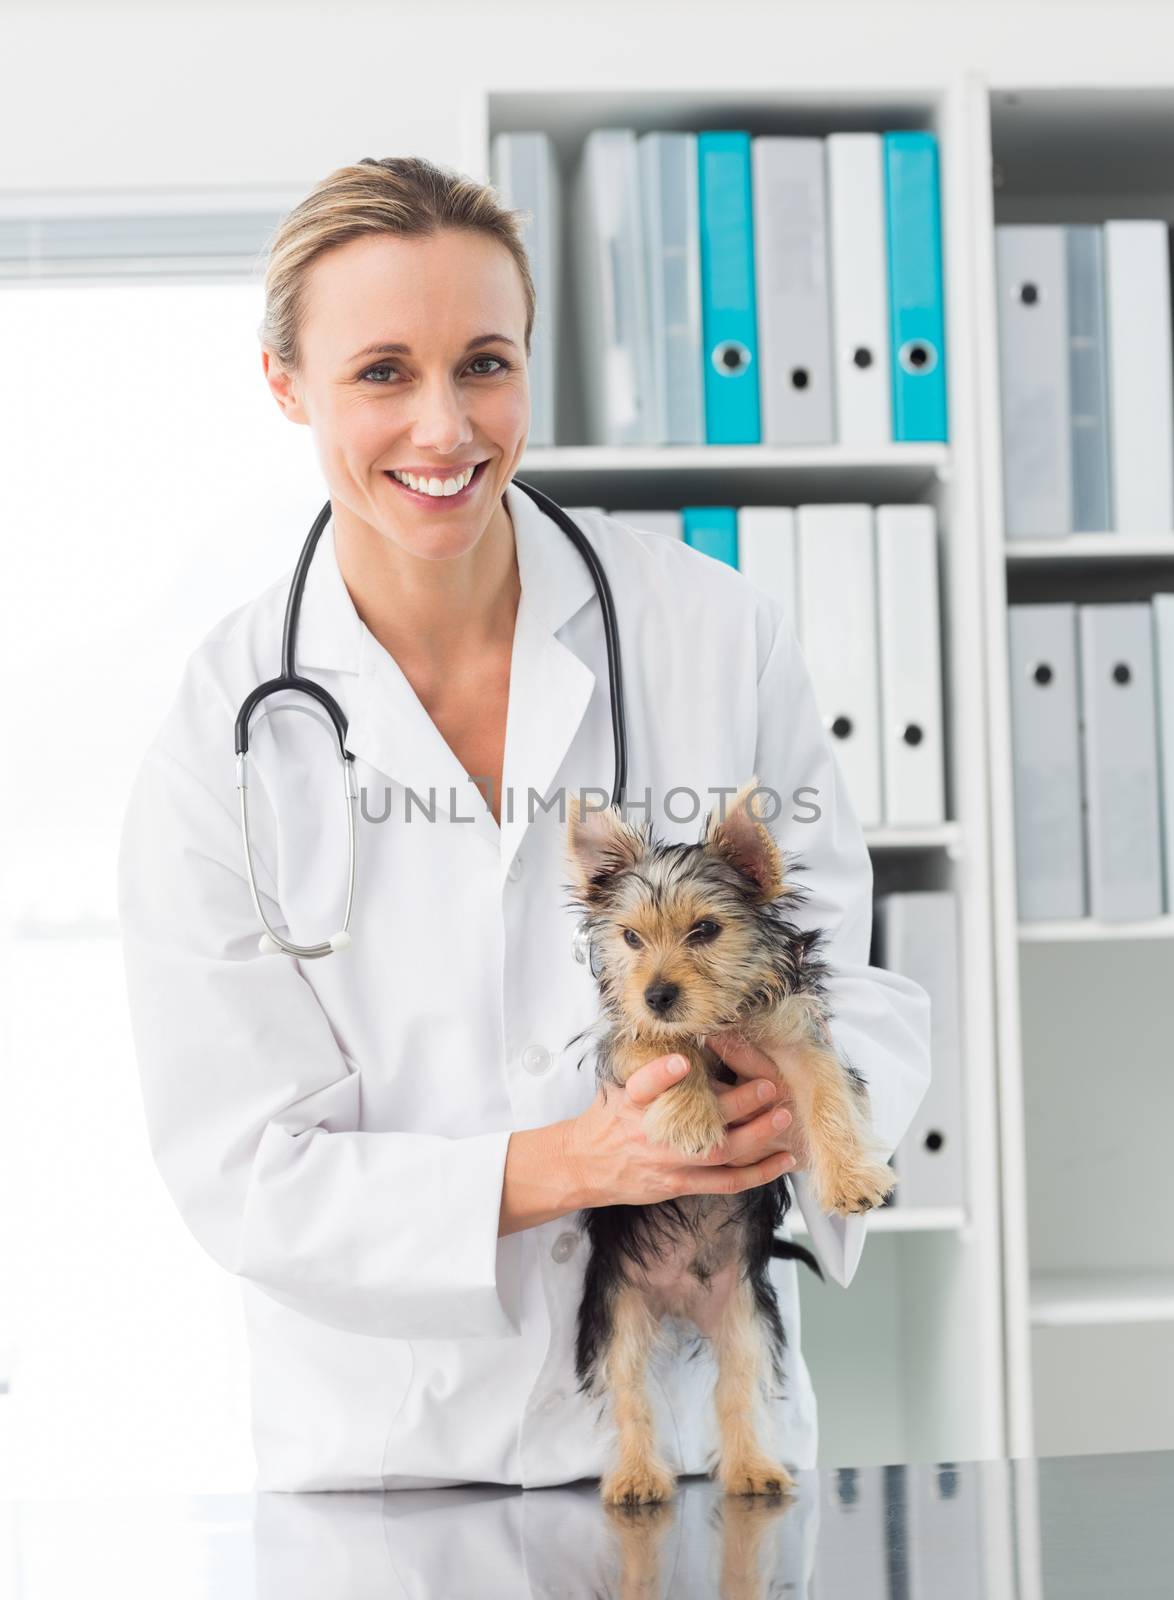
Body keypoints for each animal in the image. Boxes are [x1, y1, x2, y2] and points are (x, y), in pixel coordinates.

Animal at [566, 780, 895, 1504]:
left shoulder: (795, 1038)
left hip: (742, 1315)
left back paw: (752, 1470)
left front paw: (851, 1178)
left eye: (706, 931)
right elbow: (665, 1051)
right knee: (630, 1394)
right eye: (630, 938)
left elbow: (827, 1096)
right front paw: (692, 1119)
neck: (716, 1020)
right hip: (620, 1314)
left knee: (736, 1390)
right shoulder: (626, 1042)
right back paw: (638, 1476)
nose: (658, 994)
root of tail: (680, 1301)